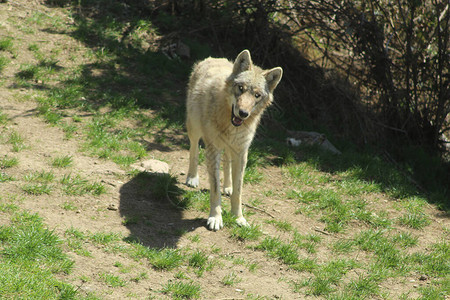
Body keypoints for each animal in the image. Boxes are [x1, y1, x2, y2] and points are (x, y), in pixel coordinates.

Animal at [185, 50, 284, 231]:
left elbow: (238, 191)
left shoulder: (241, 153)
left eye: (257, 95)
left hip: (230, 148)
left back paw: (227, 187)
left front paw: (238, 218)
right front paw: (215, 218)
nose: (243, 113)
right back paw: (192, 178)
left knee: (227, 163)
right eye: (241, 88)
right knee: (194, 150)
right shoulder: (213, 150)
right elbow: (215, 189)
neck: (231, 125)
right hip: (194, 128)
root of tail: (213, 58)